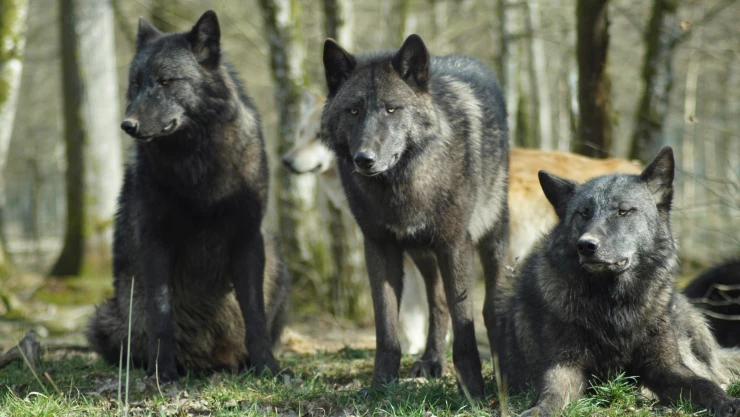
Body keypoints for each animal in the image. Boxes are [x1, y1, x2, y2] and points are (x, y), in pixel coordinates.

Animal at [87, 11, 290, 382]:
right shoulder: (155, 240)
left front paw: (268, 367)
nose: (127, 125)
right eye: (136, 83)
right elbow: (161, 314)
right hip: (105, 318)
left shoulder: (248, 238)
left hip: (276, 254)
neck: (197, 164)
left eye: (166, 81)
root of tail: (208, 362)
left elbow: (254, 316)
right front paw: (162, 371)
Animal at [321, 34, 509, 396]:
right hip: (422, 253)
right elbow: (386, 325)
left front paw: (472, 389)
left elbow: (464, 320)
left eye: (392, 109)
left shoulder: (454, 245)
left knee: (490, 305)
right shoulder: (379, 247)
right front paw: (381, 385)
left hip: (491, 239)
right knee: (437, 303)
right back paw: (432, 360)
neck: (401, 186)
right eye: (354, 110)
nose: (364, 159)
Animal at [494, 147, 740, 417]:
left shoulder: (665, 366)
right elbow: (552, 394)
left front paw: (727, 401)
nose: (586, 245)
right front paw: (539, 410)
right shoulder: (565, 365)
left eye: (623, 211)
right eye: (583, 213)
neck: (614, 304)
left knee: (713, 371)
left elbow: (703, 384)